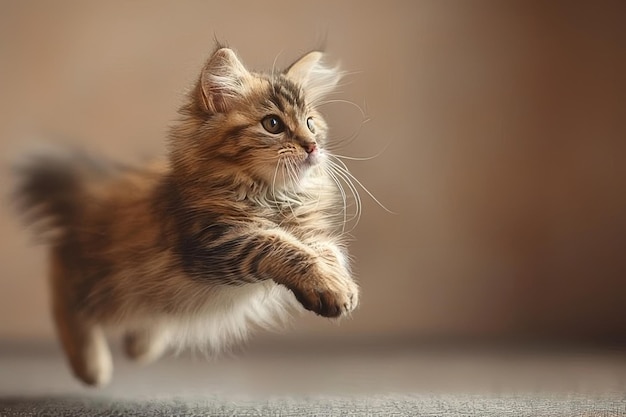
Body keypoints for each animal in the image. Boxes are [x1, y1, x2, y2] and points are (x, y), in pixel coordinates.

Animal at [15, 46, 356, 386]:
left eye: (310, 123)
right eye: (272, 124)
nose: (312, 146)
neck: (272, 196)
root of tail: (100, 190)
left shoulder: (310, 230)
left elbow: (327, 251)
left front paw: (342, 285)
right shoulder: (216, 240)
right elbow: (282, 246)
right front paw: (328, 286)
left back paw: (141, 345)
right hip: (108, 284)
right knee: (63, 282)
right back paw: (91, 367)